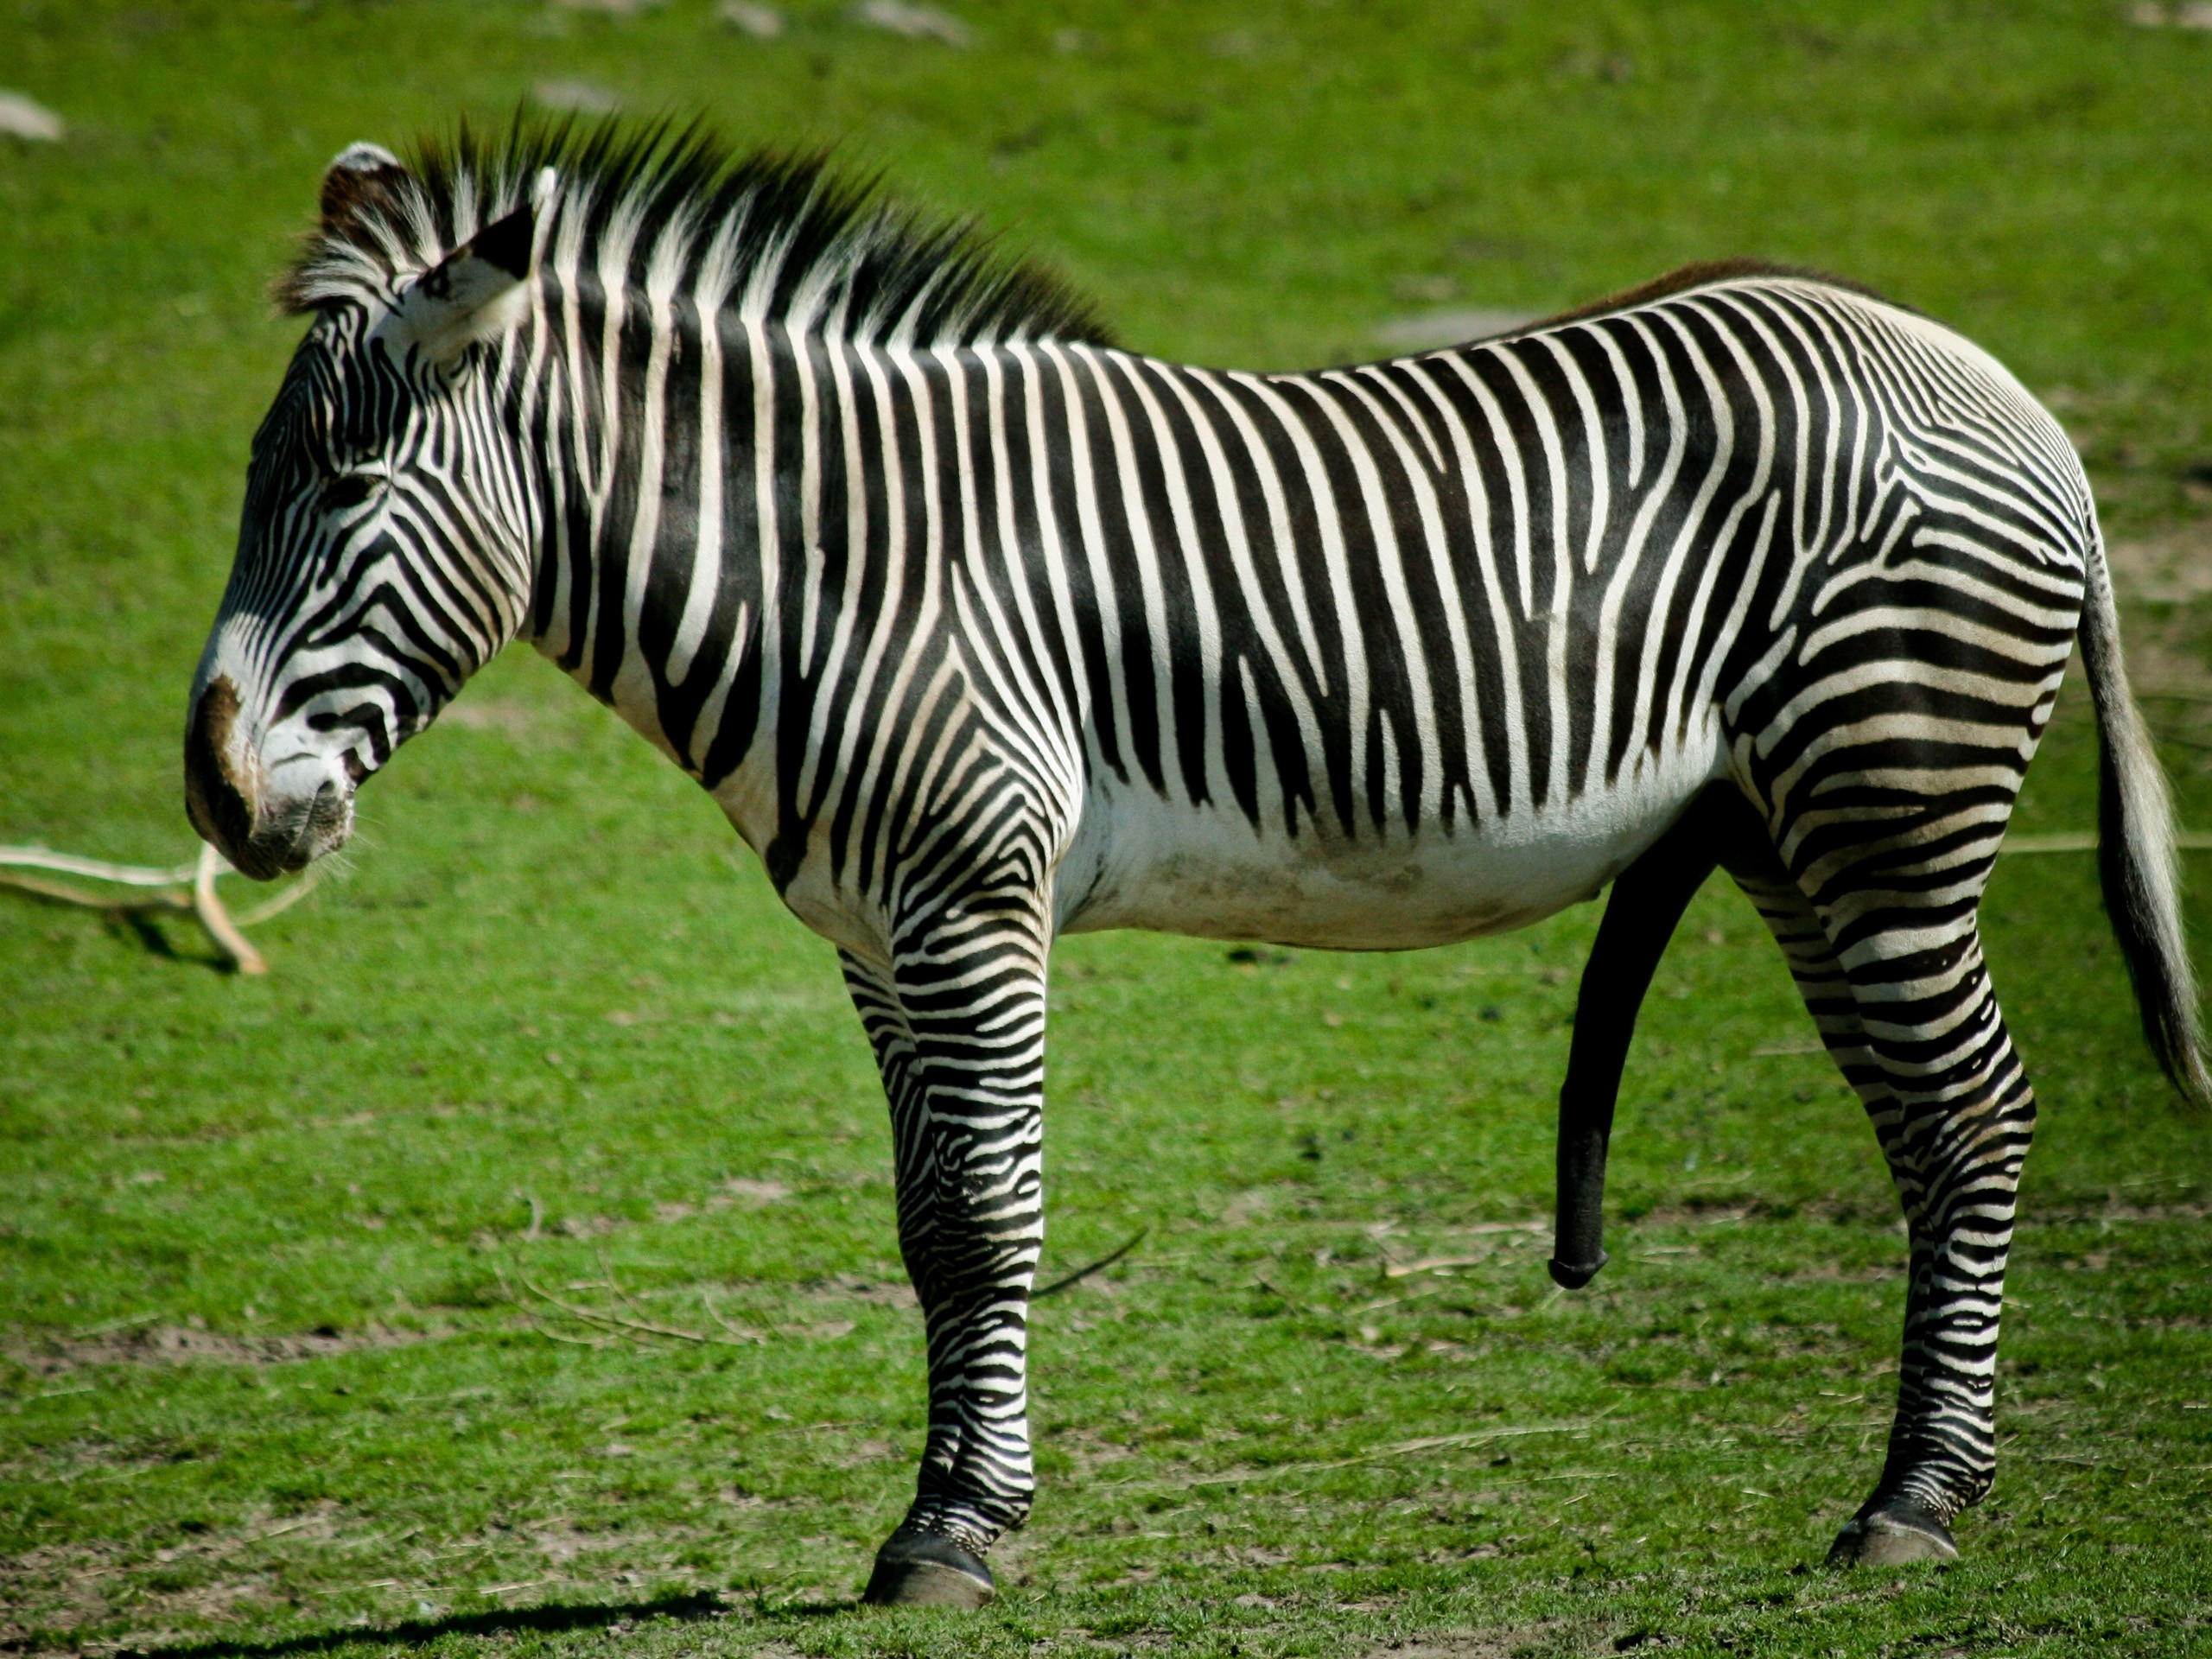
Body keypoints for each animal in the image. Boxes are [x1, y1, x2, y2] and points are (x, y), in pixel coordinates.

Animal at [183, 120, 2204, 1606]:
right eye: (251, 483)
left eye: (348, 489)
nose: (216, 801)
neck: (840, 562)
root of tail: (1998, 388)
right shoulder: (872, 934)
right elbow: (924, 1228)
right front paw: (942, 1508)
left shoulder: (970, 898)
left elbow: (985, 1218)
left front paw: (955, 1536)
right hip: (1803, 835)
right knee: (1925, 1134)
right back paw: (1924, 1480)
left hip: (1894, 796)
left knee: (1976, 1121)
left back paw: (1916, 1502)